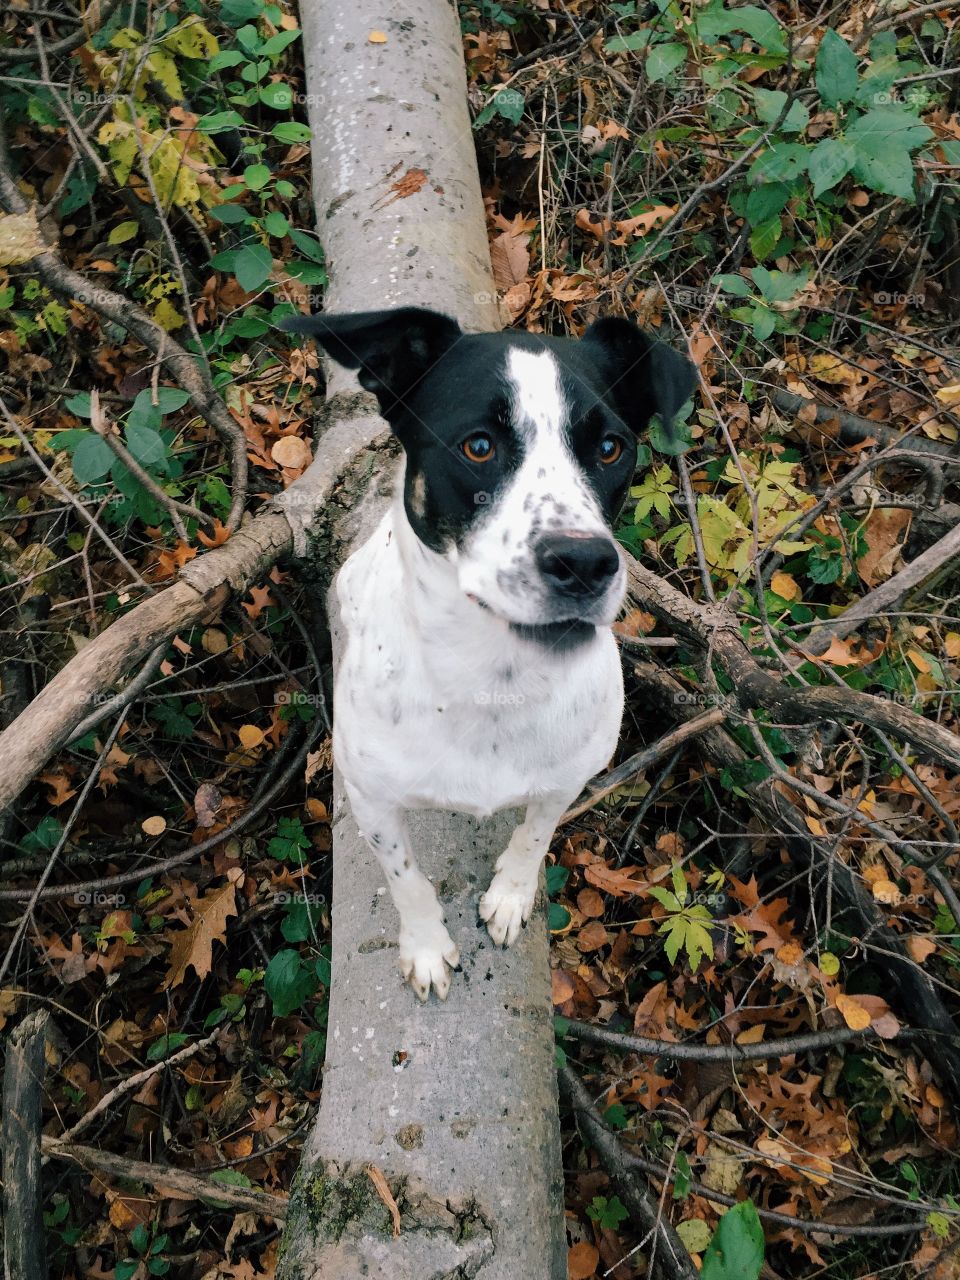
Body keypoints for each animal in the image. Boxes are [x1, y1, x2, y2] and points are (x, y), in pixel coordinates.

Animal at [281, 307, 696, 998]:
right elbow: (405, 877)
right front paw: (425, 946)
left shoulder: (569, 774)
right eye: (478, 446)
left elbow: (536, 831)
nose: (584, 563)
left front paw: (510, 894)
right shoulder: (372, 799)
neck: (494, 679)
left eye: (611, 447)